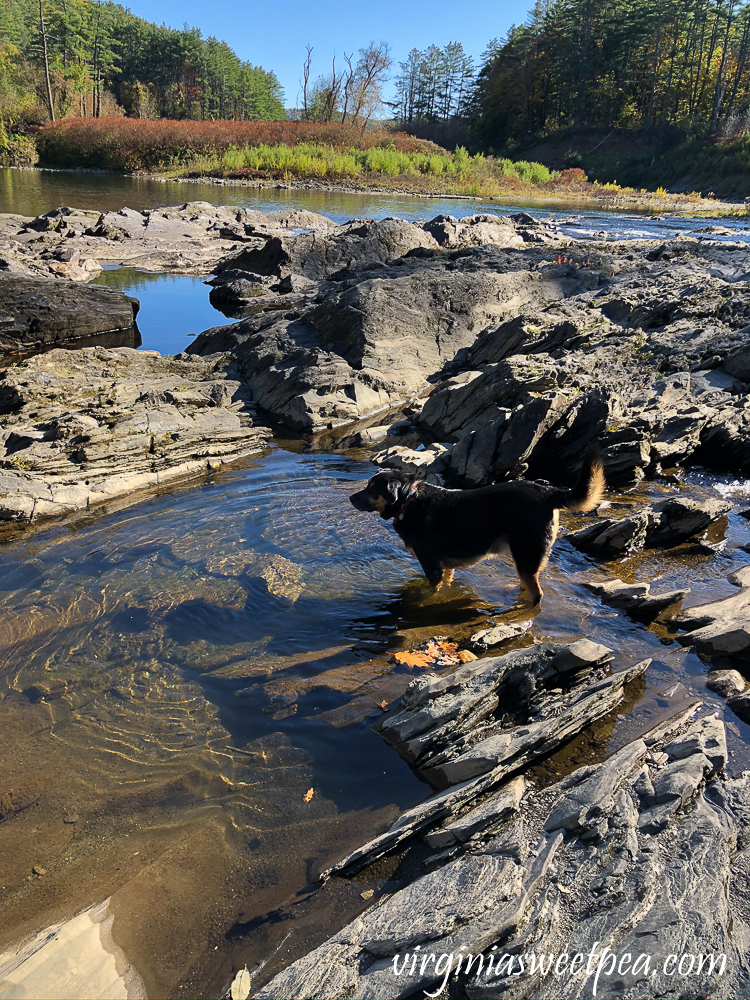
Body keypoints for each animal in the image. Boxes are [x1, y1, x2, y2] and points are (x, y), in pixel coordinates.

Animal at [352, 452, 604, 604]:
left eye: (372, 489)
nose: (350, 498)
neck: (408, 500)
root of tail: (549, 492)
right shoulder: (446, 568)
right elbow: (447, 585)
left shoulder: (432, 567)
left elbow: (431, 593)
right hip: (523, 558)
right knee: (526, 586)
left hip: (526, 554)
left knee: (536, 594)